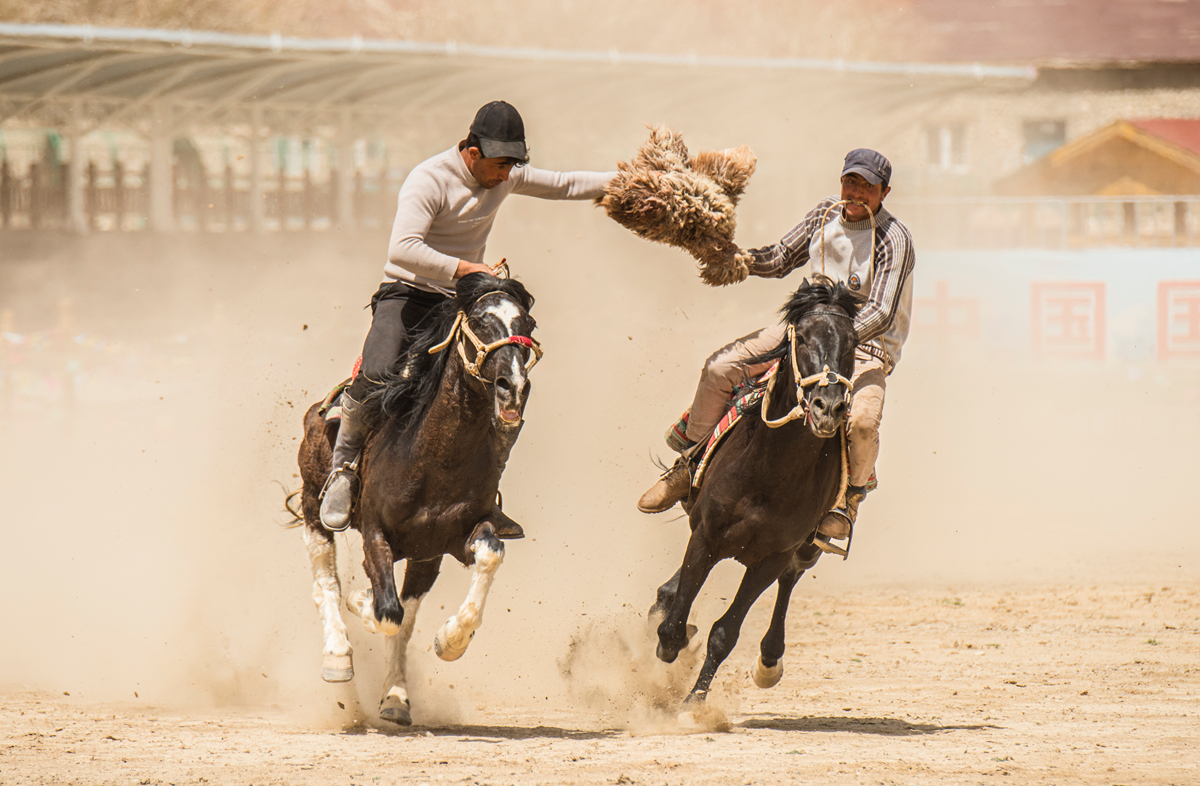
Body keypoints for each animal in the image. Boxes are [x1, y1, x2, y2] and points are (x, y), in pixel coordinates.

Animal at [292, 274, 542, 724]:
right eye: (479, 320)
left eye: (527, 323)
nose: (513, 387)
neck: (435, 458)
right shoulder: (376, 535)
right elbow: (385, 611)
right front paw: (363, 601)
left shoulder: (450, 542)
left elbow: (487, 556)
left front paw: (451, 639)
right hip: (311, 507)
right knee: (326, 582)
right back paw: (337, 654)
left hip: (424, 556)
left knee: (404, 616)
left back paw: (395, 696)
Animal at [652, 280, 859, 705]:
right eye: (803, 338)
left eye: (852, 343)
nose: (827, 407)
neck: (770, 473)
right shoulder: (706, 535)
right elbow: (675, 623)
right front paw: (669, 644)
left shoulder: (772, 557)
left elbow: (724, 633)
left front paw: (692, 704)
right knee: (673, 593)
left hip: (807, 548)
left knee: (790, 580)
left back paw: (769, 661)